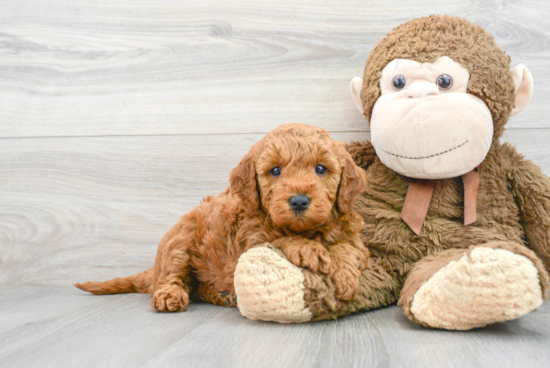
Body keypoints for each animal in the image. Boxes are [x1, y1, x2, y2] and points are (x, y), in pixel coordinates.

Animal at [75, 123, 368, 310]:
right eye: (275, 170)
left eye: (321, 168)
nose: (298, 200)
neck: (306, 229)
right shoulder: (249, 240)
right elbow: (277, 239)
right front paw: (308, 249)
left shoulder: (352, 235)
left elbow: (347, 248)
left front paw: (344, 277)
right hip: (178, 242)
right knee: (172, 277)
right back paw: (170, 295)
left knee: (197, 289)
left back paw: (224, 295)